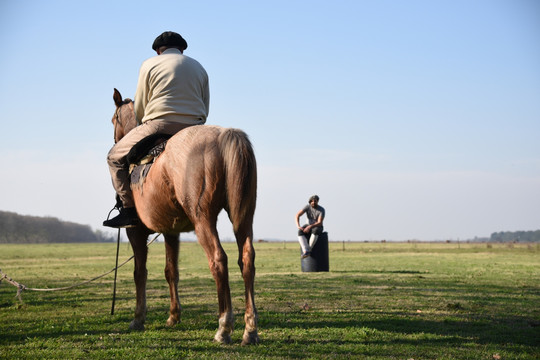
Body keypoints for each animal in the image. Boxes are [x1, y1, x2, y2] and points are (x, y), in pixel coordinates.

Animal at [109, 88, 258, 344]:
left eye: (113, 120)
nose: (115, 140)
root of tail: (224, 136)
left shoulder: (135, 232)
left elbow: (140, 273)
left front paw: (138, 318)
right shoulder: (171, 231)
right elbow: (171, 271)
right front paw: (173, 316)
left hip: (203, 220)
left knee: (218, 260)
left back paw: (224, 327)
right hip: (244, 217)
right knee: (246, 259)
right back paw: (250, 330)